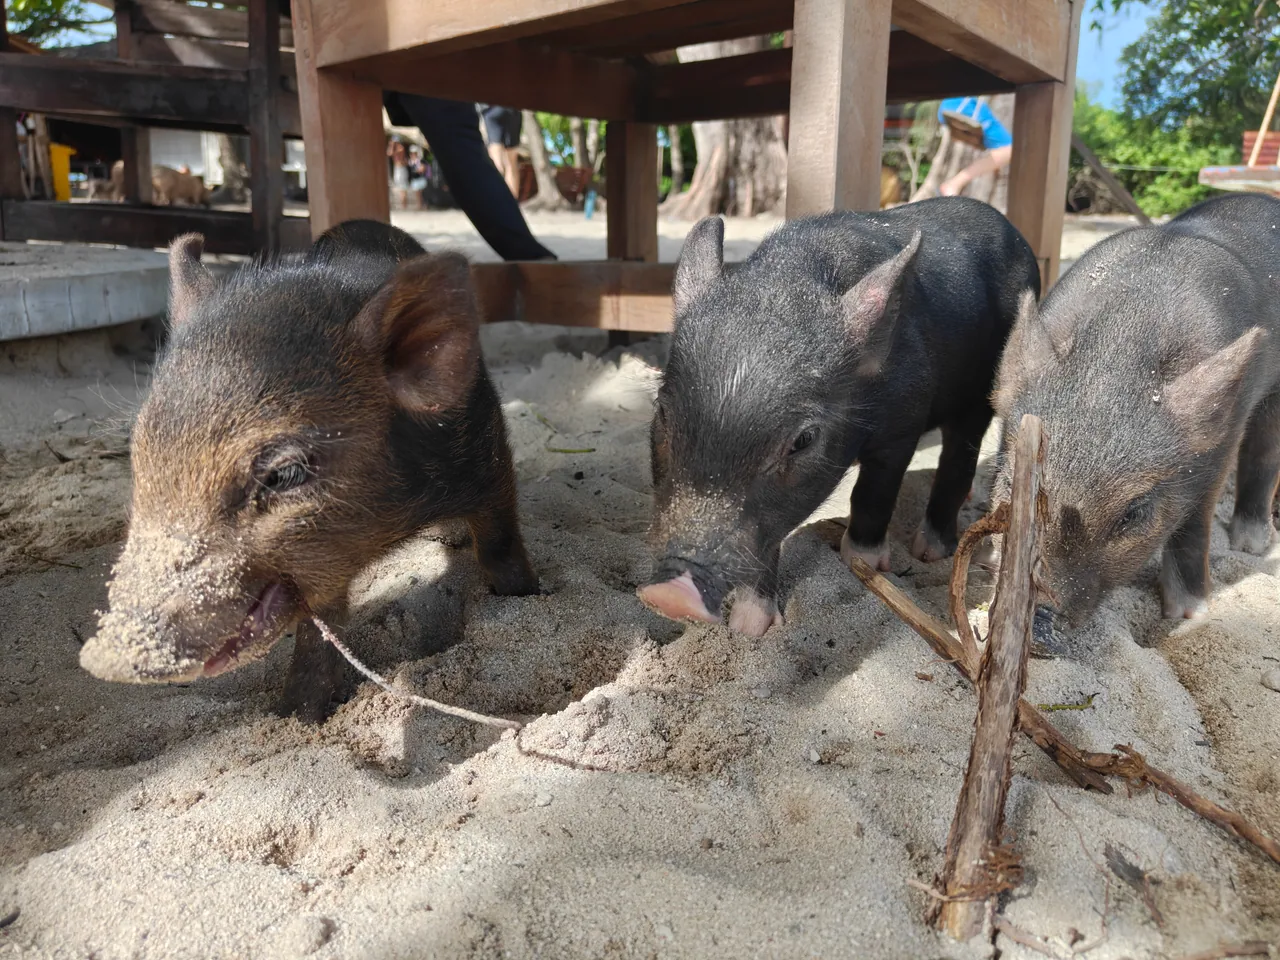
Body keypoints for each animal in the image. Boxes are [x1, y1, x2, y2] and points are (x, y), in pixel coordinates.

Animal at [79, 219, 538, 722]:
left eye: (284, 474)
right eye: (140, 453)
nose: (107, 657)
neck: (395, 528)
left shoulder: (486, 452)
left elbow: (500, 545)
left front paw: (529, 597)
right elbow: (318, 636)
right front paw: (296, 717)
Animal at [638, 197, 1040, 637]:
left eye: (803, 439)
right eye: (662, 411)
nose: (672, 593)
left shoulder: (902, 428)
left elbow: (872, 496)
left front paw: (864, 563)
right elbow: (766, 538)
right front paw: (749, 629)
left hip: (985, 390)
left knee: (960, 456)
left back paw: (929, 553)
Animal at [993, 192, 1280, 630]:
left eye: (1135, 513)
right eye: (1012, 483)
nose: (1038, 616)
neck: (1124, 335)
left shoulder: (1223, 441)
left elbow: (1194, 525)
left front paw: (1189, 618)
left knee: (1264, 452)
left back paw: (1250, 544)